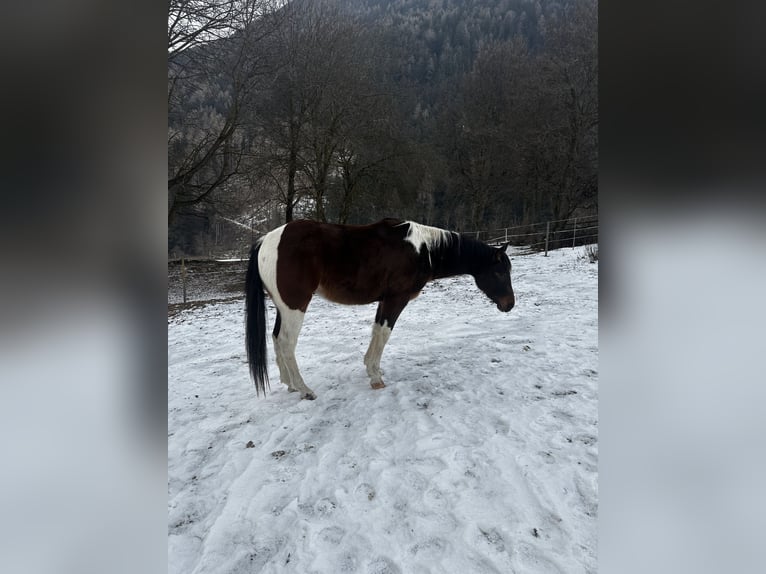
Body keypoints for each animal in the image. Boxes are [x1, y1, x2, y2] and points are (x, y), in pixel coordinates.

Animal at [249, 218, 520, 402]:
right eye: (499, 272)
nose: (509, 304)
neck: (423, 249)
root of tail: (266, 240)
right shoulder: (396, 299)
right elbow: (384, 333)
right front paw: (376, 377)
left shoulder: (384, 301)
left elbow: (376, 331)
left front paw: (373, 369)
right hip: (295, 306)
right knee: (286, 342)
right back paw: (305, 390)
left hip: (283, 307)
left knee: (276, 338)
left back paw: (290, 384)